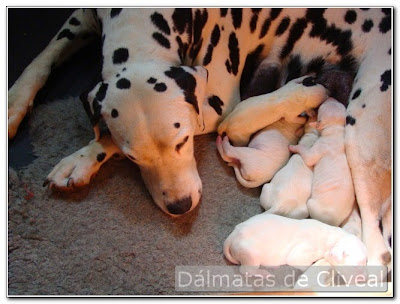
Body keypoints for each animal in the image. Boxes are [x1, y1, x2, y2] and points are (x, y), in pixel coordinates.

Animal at [223, 213, 368, 274]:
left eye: (366, 261)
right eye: (356, 266)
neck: (333, 238)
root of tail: (232, 236)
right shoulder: (303, 252)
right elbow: (298, 261)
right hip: (251, 255)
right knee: (245, 270)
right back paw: (263, 273)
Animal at [290, 98, 354, 227]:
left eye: (322, 106)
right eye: (337, 102)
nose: (329, 97)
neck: (335, 130)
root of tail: (332, 223)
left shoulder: (320, 146)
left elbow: (308, 157)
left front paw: (293, 147)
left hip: (311, 204)